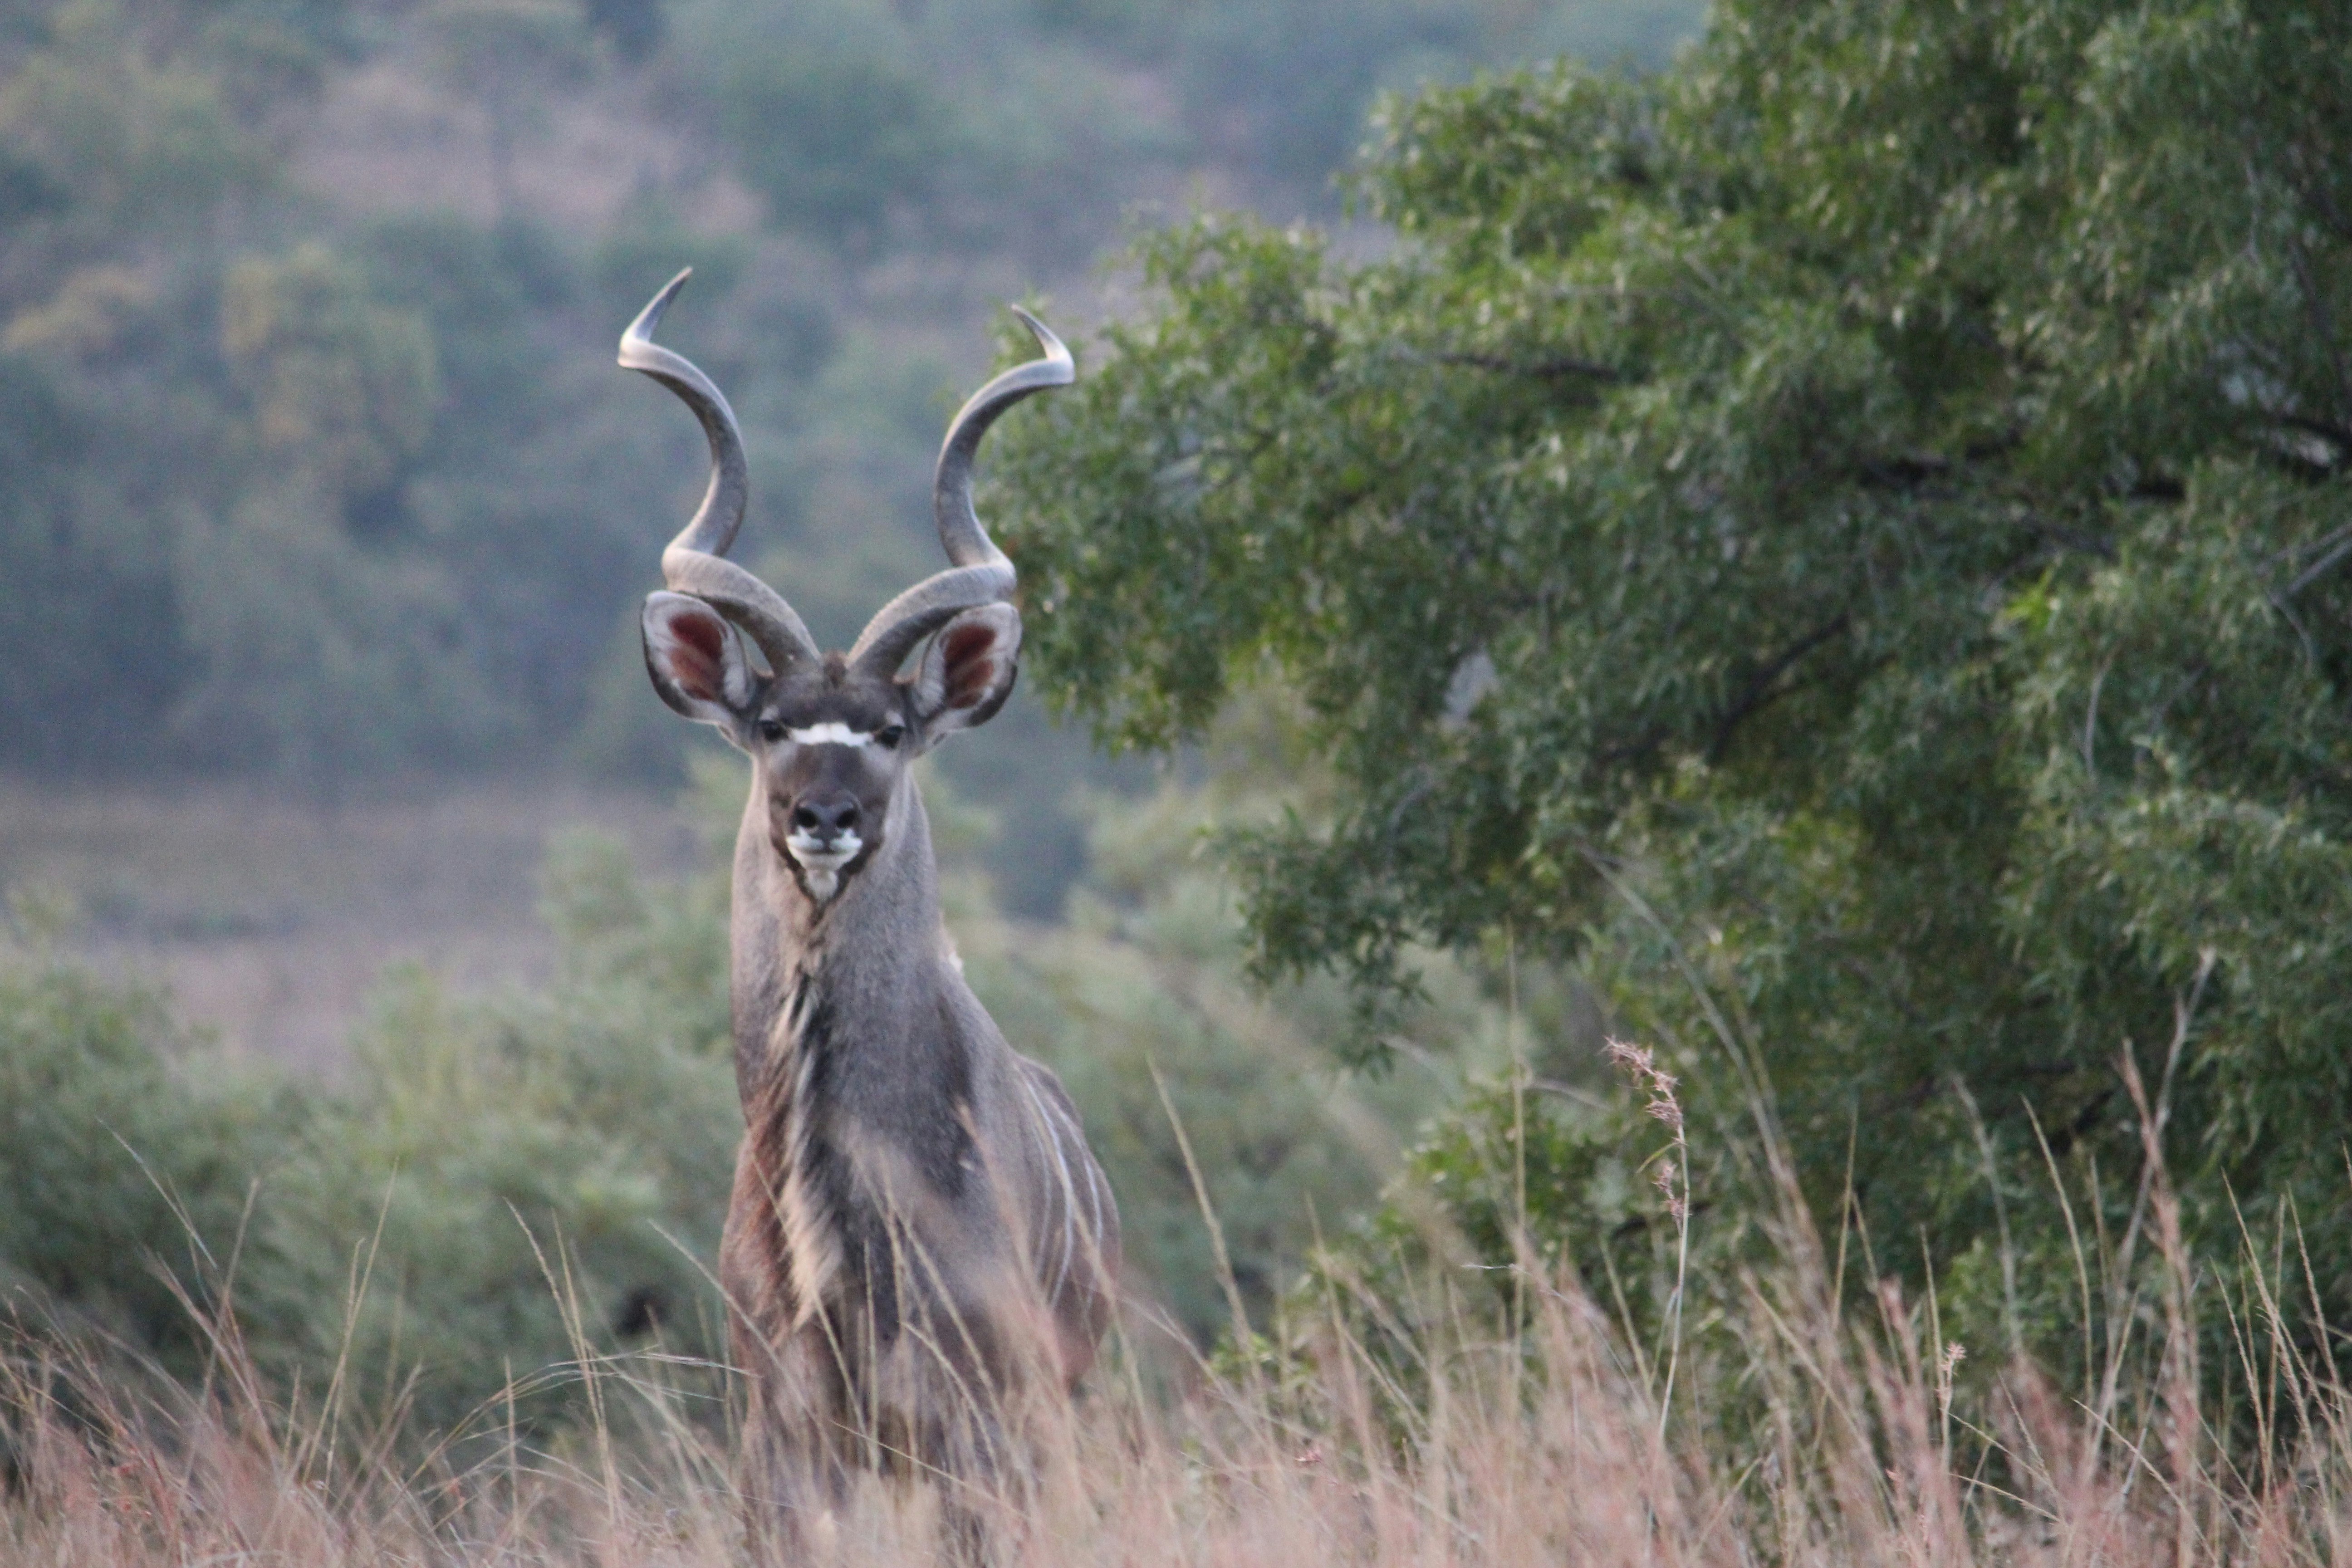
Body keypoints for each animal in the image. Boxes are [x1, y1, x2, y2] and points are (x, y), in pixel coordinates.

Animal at [620, 271, 1119, 1556]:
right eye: (771, 725)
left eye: (890, 730)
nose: (826, 816)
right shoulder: (785, 1437)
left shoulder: (971, 1433)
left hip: (1054, 1419)